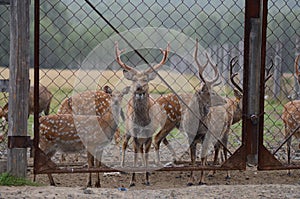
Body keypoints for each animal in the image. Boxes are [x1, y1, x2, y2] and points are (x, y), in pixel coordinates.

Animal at [115, 42, 170, 187]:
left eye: (145, 79)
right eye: (134, 79)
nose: (139, 88)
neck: (142, 121)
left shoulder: (149, 134)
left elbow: (146, 154)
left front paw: (147, 179)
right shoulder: (134, 133)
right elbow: (134, 154)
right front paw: (132, 181)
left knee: (141, 151)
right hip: (127, 129)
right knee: (124, 144)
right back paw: (122, 164)